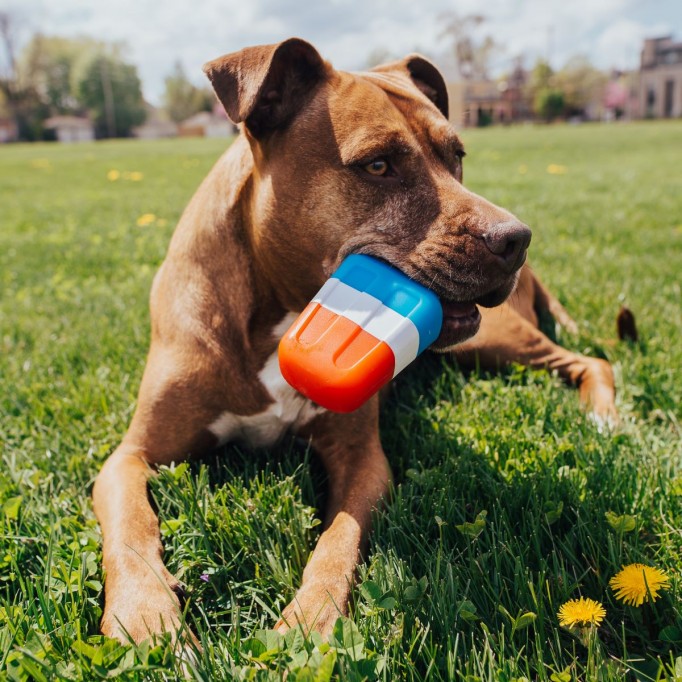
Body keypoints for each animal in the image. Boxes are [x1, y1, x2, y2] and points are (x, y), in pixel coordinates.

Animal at [91, 37, 612, 644]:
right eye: (378, 165)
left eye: (457, 155)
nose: (517, 239)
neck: (278, 309)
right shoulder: (131, 457)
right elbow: (132, 525)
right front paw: (145, 615)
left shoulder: (362, 458)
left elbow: (339, 536)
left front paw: (311, 616)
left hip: (495, 341)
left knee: (591, 361)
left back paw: (604, 418)